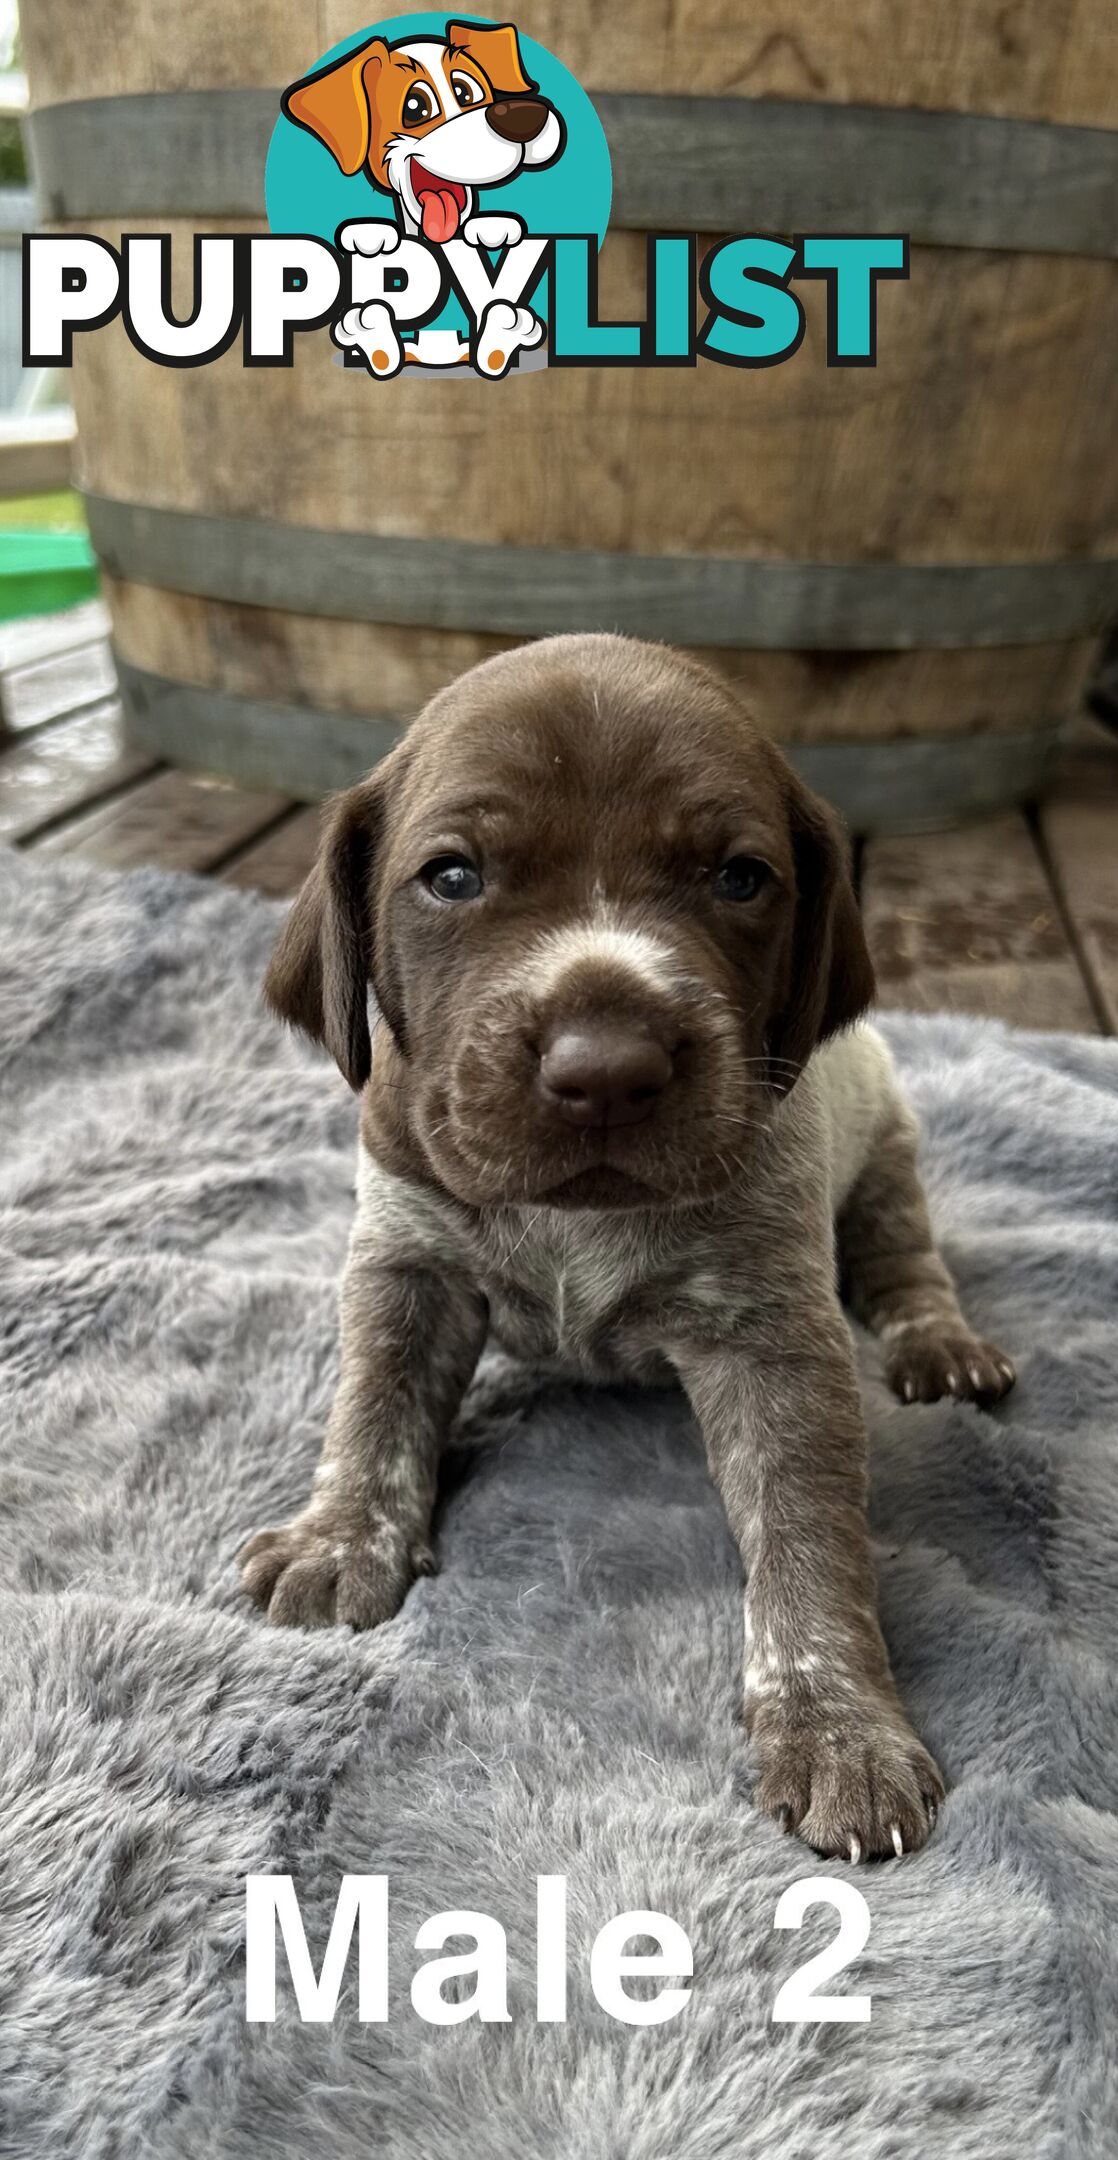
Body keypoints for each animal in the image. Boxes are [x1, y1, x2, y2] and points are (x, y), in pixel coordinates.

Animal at [242, 630, 1018, 1866]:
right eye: (451, 877)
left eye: (738, 878)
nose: (604, 1068)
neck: (578, 1214)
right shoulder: (406, 1265)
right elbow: (373, 1410)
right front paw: (342, 1540)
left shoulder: (773, 1342)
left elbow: (804, 1536)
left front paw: (836, 1724)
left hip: (887, 1146)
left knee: (904, 1260)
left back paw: (939, 1346)